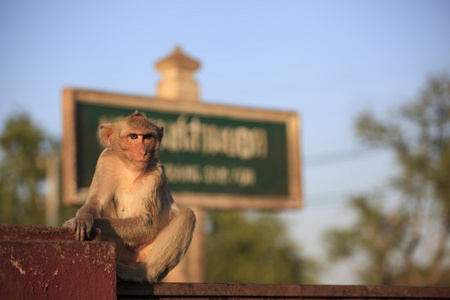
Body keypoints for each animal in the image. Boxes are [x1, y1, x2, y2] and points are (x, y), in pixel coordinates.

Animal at [63, 110, 197, 284]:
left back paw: (139, 273)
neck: (130, 168)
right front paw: (82, 219)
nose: (144, 152)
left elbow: (147, 225)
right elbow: (95, 201)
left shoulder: (155, 176)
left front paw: (94, 223)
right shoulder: (105, 161)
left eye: (147, 137)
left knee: (188, 216)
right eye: (133, 136)